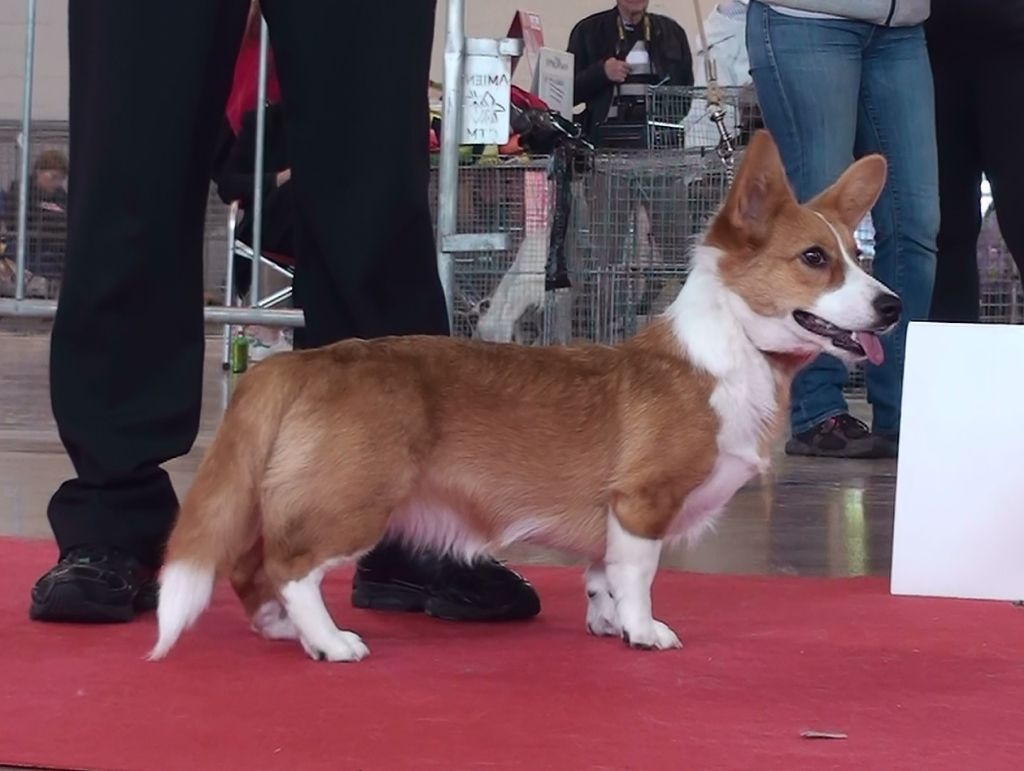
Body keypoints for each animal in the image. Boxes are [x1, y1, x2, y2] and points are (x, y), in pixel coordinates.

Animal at [148, 132, 901, 663]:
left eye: (859, 257)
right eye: (813, 259)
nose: (892, 306)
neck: (729, 350)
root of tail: (306, 362)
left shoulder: (610, 524)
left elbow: (601, 577)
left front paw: (605, 624)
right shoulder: (641, 503)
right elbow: (638, 575)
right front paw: (643, 631)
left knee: (249, 565)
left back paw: (280, 627)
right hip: (355, 498)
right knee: (290, 565)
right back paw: (329, 641)